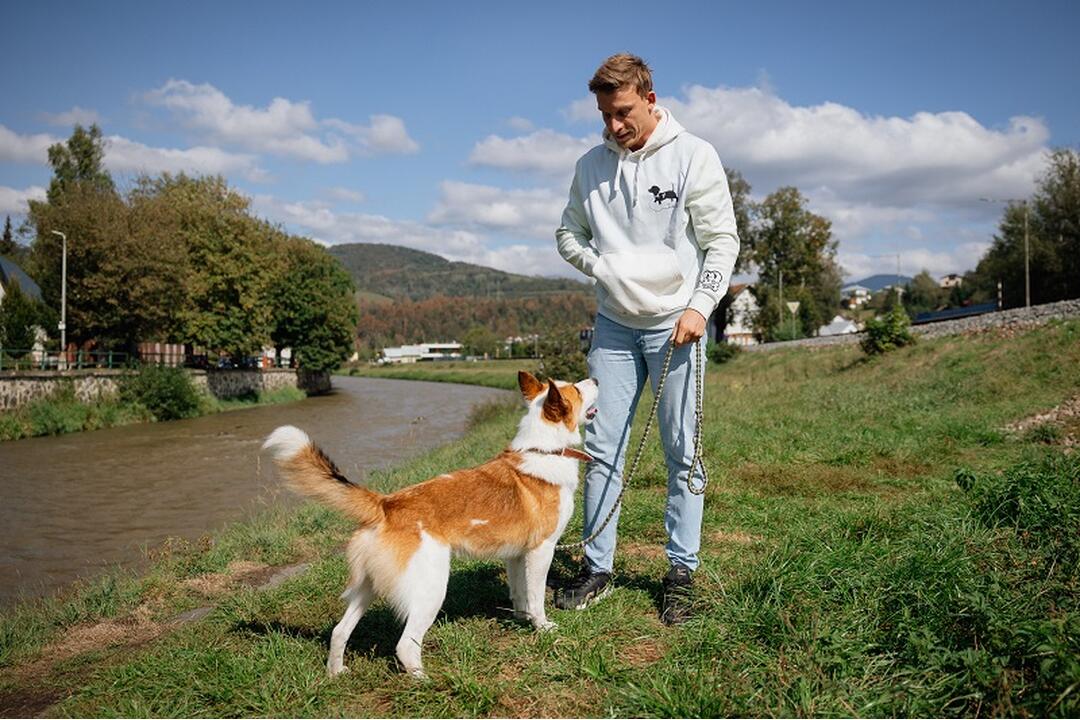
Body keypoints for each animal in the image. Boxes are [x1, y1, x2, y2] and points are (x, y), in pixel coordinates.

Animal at [261, 371, 600, 682]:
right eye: (576, 389)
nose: (595, 379)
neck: (545, 450)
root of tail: (386, 504)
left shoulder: (516, 555)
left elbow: (520, 594)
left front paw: (521, 619)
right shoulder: (542, 550)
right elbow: (536, 596)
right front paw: (542, 627)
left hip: (368, 587)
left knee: (339, 631)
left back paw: (336, 672)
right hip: (432, 589)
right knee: (405, 645)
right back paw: (424, 681)